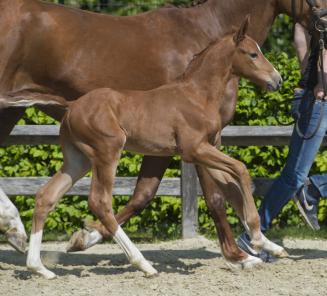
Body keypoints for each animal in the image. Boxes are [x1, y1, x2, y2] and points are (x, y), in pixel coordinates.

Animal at [0, 0, 322, 266]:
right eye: (253, 54)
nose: (277, 80)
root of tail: (72, 105)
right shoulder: (194, 149)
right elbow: (223, 189)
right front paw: (240, 253)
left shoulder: (202, 144)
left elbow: (224, 186)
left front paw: (263, 246)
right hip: (100, 148)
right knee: (98, 200)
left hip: (65, 147)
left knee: (49, 194)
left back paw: (29, 250)